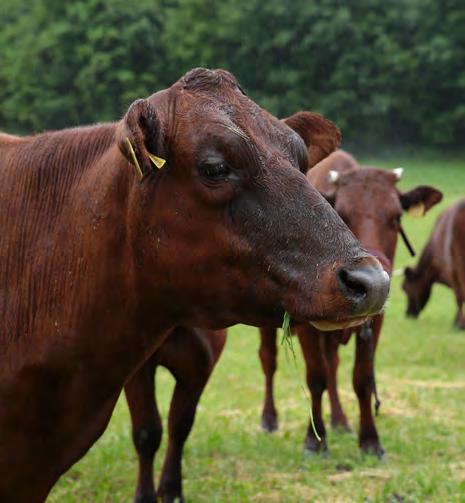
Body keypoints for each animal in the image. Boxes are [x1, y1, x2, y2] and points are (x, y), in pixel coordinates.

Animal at [258, 152, 442, 458]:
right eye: (341, 213)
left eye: (396, 217)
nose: (373, 281)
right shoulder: (307, 325)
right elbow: (316, 377)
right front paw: (315, 441)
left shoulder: (374, 322)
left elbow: (362, 379)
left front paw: (370, 439)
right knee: (269, 359)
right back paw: (269, 419)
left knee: (333, 363)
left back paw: (340, 420)